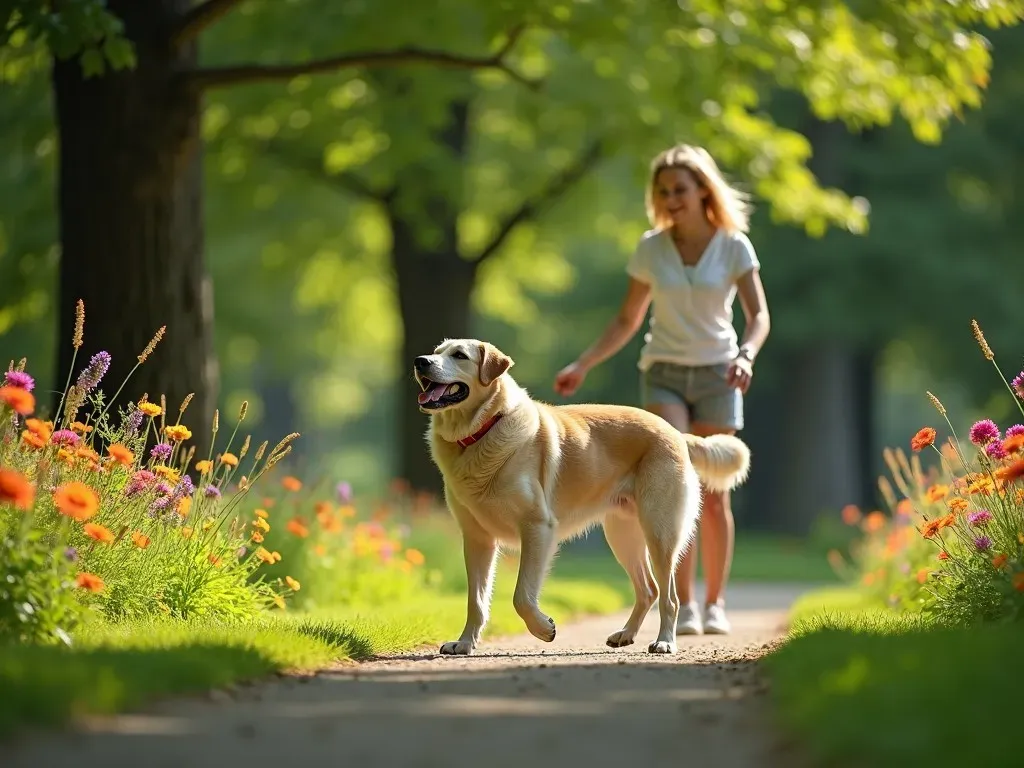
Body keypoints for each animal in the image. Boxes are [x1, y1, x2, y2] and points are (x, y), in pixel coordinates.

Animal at [413, 337, 753, 655]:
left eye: (459, 355)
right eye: (436, 351)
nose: (420, 361)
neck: (481, 431)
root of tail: (675, 433)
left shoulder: (538, 528)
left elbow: (521, 596)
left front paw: (543, 628)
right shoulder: (477, 539)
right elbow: (476, 601)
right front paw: (465, 643)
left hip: (660, 534)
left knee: (669, 596)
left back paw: (665, 641)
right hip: (622, 535)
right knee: (649, 590)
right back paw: (626, 634)